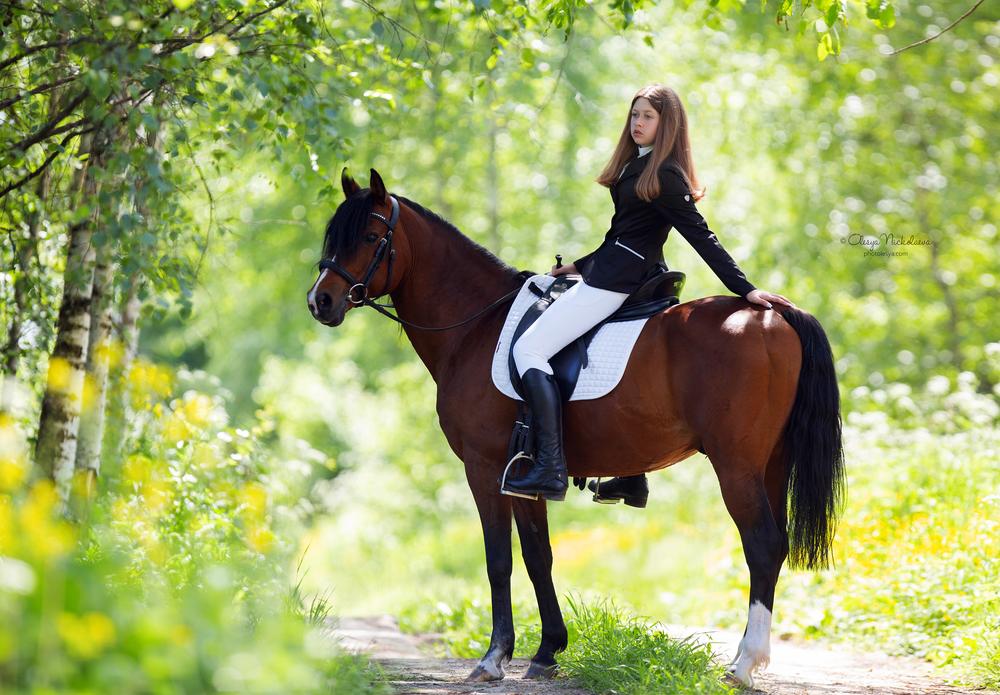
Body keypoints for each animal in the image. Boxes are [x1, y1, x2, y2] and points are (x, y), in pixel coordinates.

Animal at [307, 167, 845, 687]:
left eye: (370, 235)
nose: (320, 301)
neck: (475, 327)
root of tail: (773, 314)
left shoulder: (484, 467)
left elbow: (499, 559)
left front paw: (494, 658)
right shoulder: (524, 475)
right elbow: (537, 556)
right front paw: (547, 652)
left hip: (736, 465)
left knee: (761, 544)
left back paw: (743, 665)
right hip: (770, 464)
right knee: (775, 547)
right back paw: (749, 660)